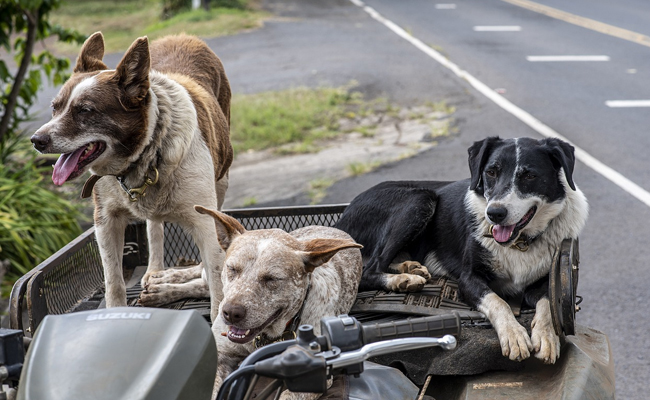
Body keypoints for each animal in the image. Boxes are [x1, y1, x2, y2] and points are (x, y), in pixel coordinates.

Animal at [31, 33, 233, 318]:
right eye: (55, 108)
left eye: (85, 110)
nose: (36, 140)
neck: (145, 154)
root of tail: (183, 36)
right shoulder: (106, 221)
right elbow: (113, 282)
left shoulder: (205, 223)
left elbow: (217, 289)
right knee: (154, 227)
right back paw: (156, 273)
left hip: (222, 180)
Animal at [140, 208, 362, 398]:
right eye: (232, 269)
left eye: (271, 278)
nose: (230, 313)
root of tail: (332, 228)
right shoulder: (219, 355)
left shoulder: (312, 373)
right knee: (200, 273)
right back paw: (160, 281)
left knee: (201, 285)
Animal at [334, 136, 588, 364]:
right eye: (491, 172)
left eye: (529, 175)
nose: (494, 214)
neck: (520, 242)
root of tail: (341, 219)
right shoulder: (468, 279)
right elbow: (499, 301)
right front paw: (514, 335)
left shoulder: (546, 280)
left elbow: (548, 303)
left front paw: (546, 336)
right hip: (420, 198)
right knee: (368, 269)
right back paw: (403, 280)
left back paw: (410, 268)